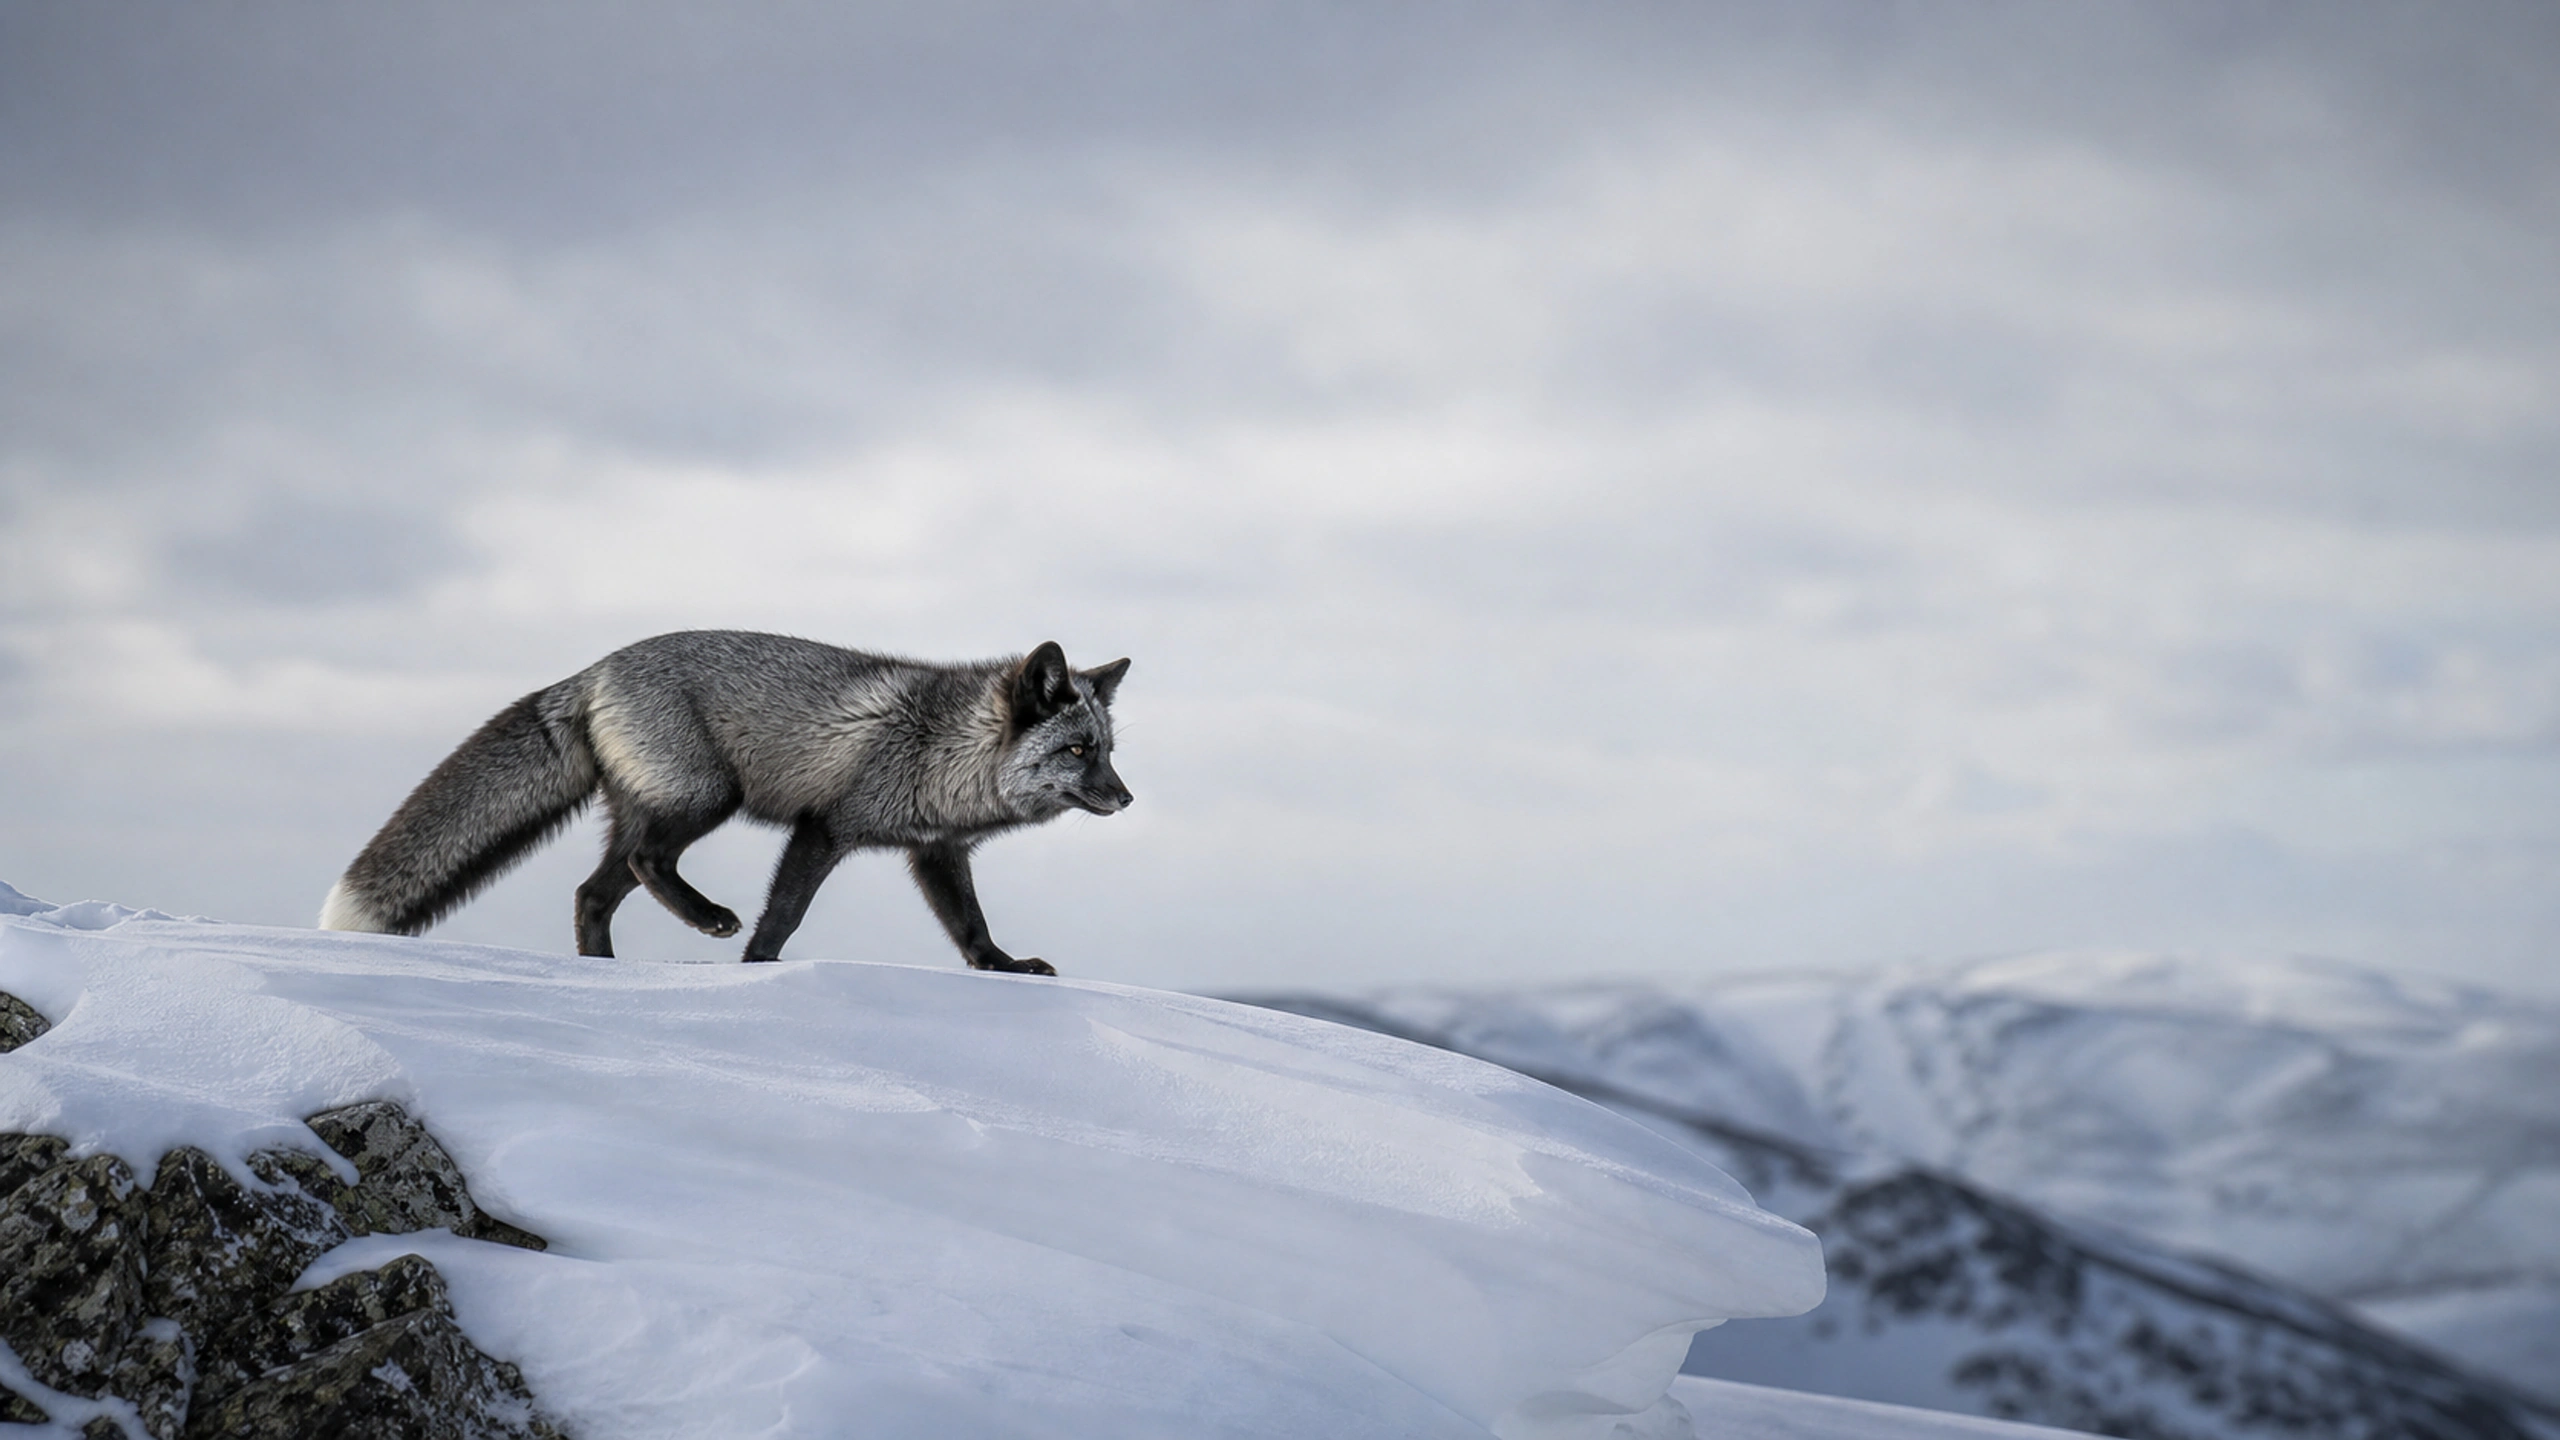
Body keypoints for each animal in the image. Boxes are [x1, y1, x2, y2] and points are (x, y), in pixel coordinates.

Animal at [318, 630, 1132, 973]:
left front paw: (1004, 967)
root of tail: (594, 668)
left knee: (592, 892)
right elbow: (786, 913)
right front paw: (759, 966)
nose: (1126, 799)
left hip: (653, 807)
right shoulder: (824, 826)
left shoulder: (936, 851)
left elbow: (971, 927)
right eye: (1077, 751)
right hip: (707, 796)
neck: (941, 747)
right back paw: (707, 919)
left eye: (1108, 748)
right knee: (646, 864)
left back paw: (602, 971)